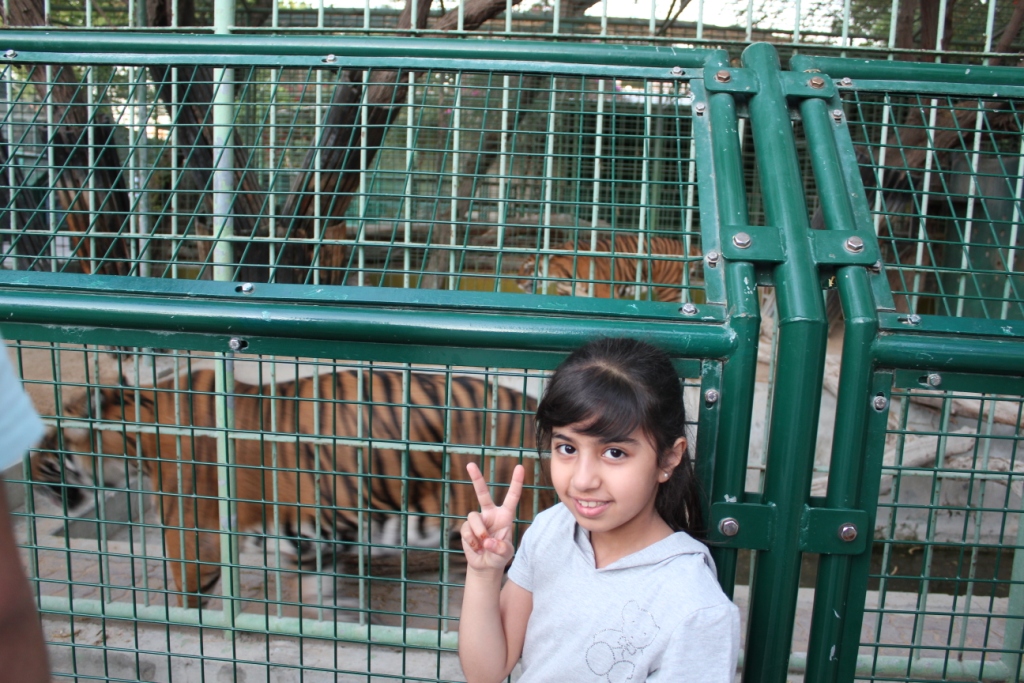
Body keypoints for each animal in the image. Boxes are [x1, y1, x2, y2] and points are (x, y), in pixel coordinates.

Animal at [32, 370, 548, 606]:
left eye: (45, 442)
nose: (28, 470)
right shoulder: (316, 537)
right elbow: (322, 588)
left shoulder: (193, 538)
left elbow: (190, 601)